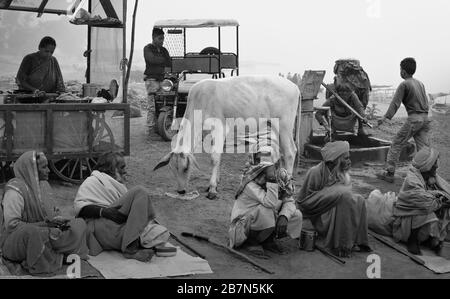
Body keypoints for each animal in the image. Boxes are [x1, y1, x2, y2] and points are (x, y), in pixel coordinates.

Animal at [154, 76, 302, 200]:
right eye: (172, 170)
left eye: (186, 168)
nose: (181, 191)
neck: (200, 101)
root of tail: (295, 86)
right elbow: (218, 157)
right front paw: (214, 184)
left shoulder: (219, 128)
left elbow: (214, 158)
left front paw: (212, 189)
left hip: (284, 126)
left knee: (290, 152)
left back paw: (286, 186)